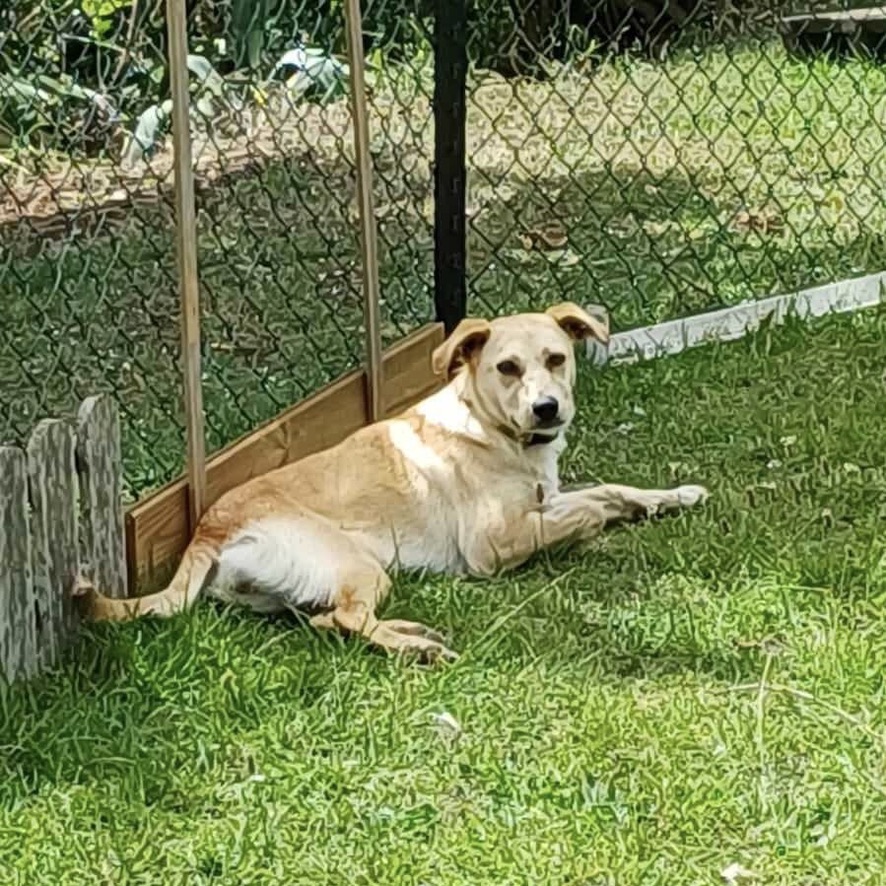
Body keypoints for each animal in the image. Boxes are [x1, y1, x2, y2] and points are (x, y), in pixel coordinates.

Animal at [80, 302, 712, 664]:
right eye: (507, 368)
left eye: (556, 359)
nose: (547, 409)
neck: (495, 431)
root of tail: (208, 529)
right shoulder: (493, 545)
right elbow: (590, 511)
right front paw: (602, 530)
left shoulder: (549, 496)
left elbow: (609, 490)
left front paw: (671, 497)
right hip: (360, 565)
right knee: (346, 619)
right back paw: (418, 648)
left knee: (327, 620)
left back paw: (407, 631)